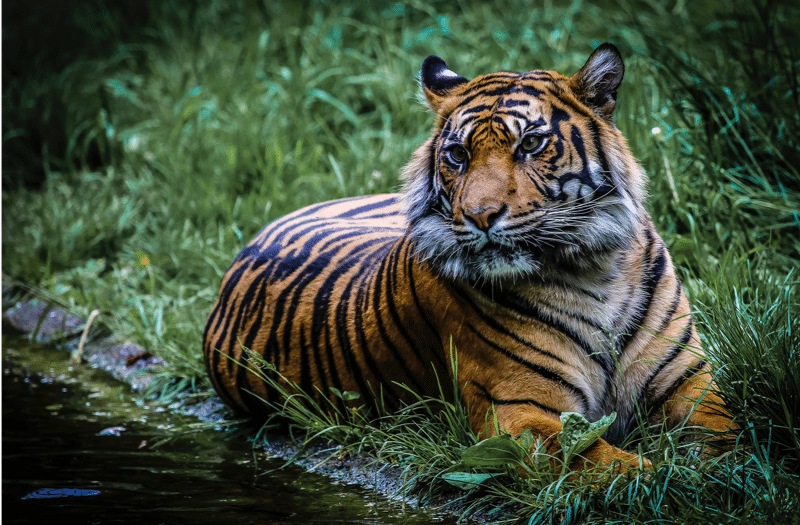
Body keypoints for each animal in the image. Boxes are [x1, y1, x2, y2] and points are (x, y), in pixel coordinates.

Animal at [203, 43, 736, 472]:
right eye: (457, 154)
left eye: (531, 143)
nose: (480, 216)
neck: (594, 268)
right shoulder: (521, 413)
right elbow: (619, 467)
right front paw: (675, 480)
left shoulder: (688, 382)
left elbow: (731, 435)